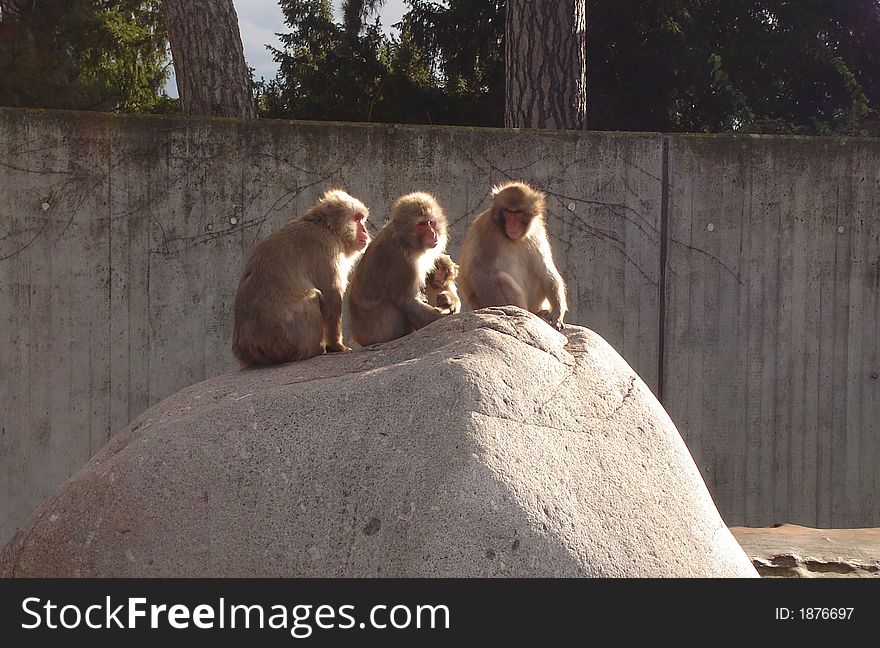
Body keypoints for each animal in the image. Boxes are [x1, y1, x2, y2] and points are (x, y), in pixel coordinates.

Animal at [232, 190, 370, 368]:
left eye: (362, 219)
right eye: (357, 218)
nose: (365, 230)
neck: (327, 228)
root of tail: (249, 347)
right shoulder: (327, 250)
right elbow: (331, 298)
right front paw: (337, 346)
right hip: (290, 337)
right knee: (312, 298)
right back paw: (316, 349)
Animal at [348, 191, 450, 346]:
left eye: (431, 222)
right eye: (421, 224)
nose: (433, 234)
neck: (405, 241)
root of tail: (358, 338)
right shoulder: (401, 261)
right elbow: (406, 301)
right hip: (376, 331)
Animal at [458, 181, 568, 330]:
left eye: (518, 212)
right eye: (508, 212)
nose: (512, 225)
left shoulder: (537, 231)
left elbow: (546, 271)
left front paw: (557, 314)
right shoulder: (487, 231)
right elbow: (479, 273)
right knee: (500, 278)